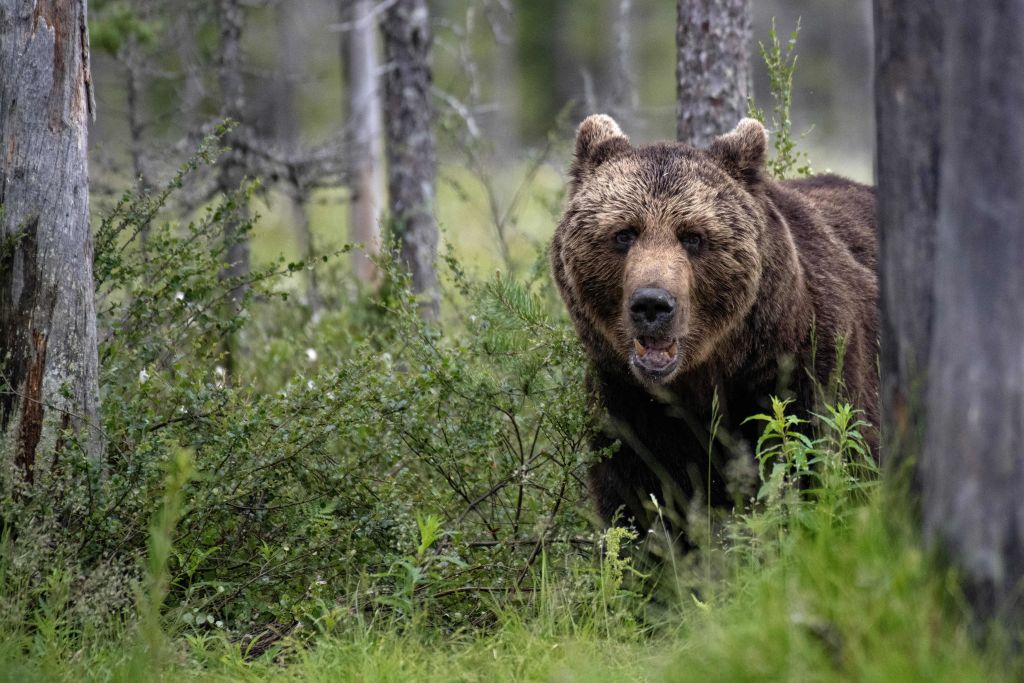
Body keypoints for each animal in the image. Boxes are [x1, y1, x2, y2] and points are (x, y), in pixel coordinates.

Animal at [552, 114, 880, 536]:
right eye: (624, 233)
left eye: (693, 236)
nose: (652, 304)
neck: (707, 375)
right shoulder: (628, 403)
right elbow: (639, 503)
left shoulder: (806, 371)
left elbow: (823, 468)